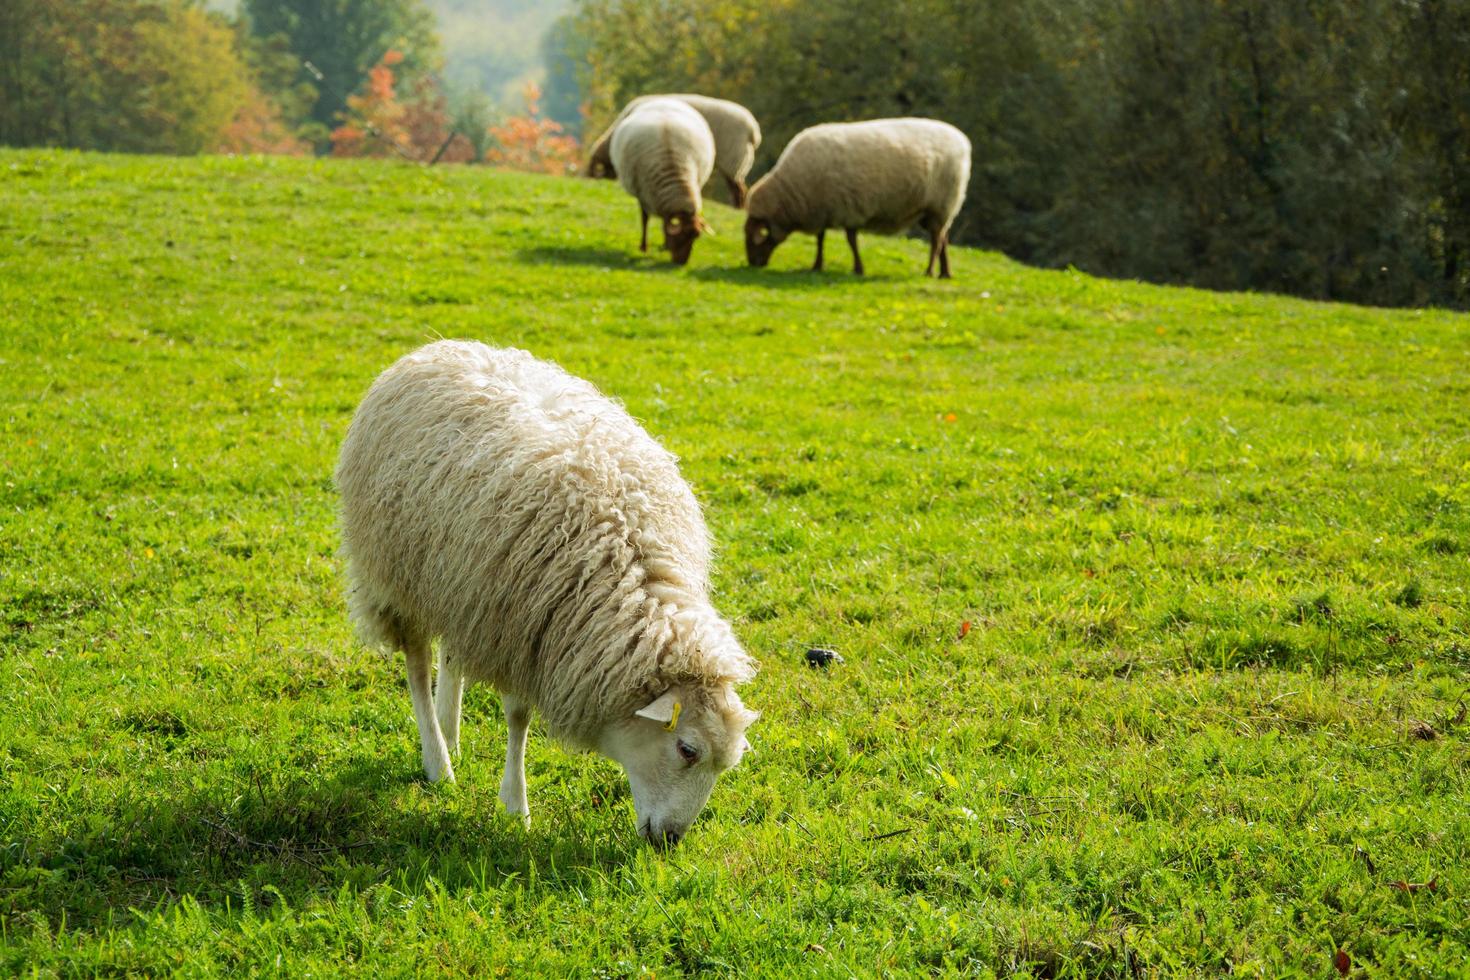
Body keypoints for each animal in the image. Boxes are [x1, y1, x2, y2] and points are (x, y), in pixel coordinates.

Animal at [336, 340, 758, 846]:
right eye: (687, 749)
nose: (669, 840)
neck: (630, 566)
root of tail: (441, 346)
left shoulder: (501, 615)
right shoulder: (521, 631)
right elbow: (518, 717)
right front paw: (515, 806)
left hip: (459, 584)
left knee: (452, 654)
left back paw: (451, 731)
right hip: (400, 575)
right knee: (417, 665)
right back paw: (439, 761)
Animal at [582, 94, 764, 207]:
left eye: (595, 173)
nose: (589, 182)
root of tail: (753, 130)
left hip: (733, 158)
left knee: (738, 189)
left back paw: (737, 208)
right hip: (739, 161)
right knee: (738, 188)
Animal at [608, 97, 717, 264]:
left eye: (696, 237)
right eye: (681, 236)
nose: (681, 263)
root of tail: (663, 99)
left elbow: (665, 223)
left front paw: (664, 245)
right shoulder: (643, 194)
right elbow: (645, 220)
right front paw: (644, 247)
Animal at [746, 120, 976, 279]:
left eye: (755, 238)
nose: (752, 264)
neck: (791, 192)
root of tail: (962, 140)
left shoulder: (847, 209)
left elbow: (851, 241)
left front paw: (858, 269)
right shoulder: (823, 209)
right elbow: (820, 239)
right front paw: (817, 265)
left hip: (941, 203)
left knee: (936, 240)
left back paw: (929, 271)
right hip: (936, 210)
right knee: (943, 237)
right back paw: (945, 273)